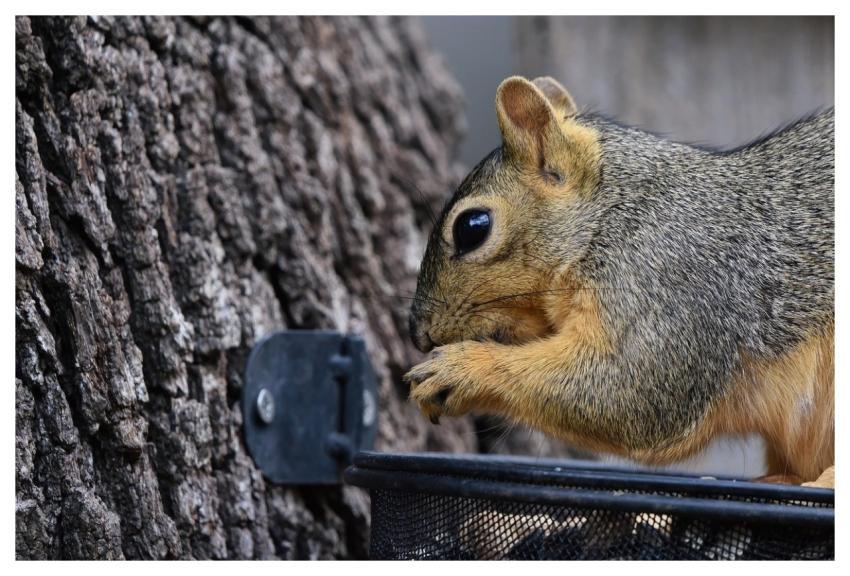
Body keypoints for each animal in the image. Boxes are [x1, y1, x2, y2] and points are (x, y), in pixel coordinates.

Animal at [405, 76, 834, 488]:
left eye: (472, 227)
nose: (418, 334)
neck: (609, 214)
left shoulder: (669, 279)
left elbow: (626, 389)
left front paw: (461, 369)